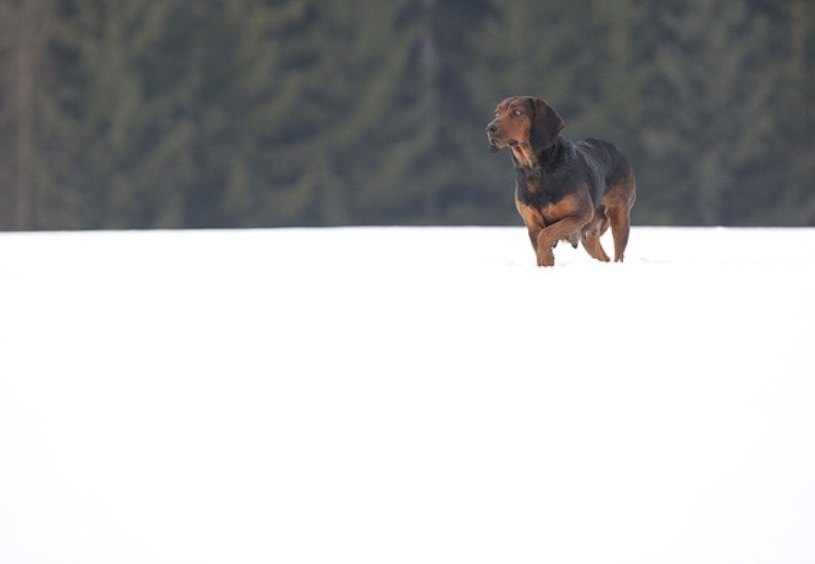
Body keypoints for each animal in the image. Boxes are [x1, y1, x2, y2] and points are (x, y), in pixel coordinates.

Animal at [484, 96, 636, 266]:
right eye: (497, 113)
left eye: (517, 112)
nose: (489, 128)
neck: (535, 169)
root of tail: (617, 150)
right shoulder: (532, 223)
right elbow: (541, 239)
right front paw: (545, 261)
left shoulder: (580, 214)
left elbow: (546, 234)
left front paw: (545, 259)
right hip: (589, 235)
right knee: (603, 255)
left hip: (619, 214)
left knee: (618, 253)